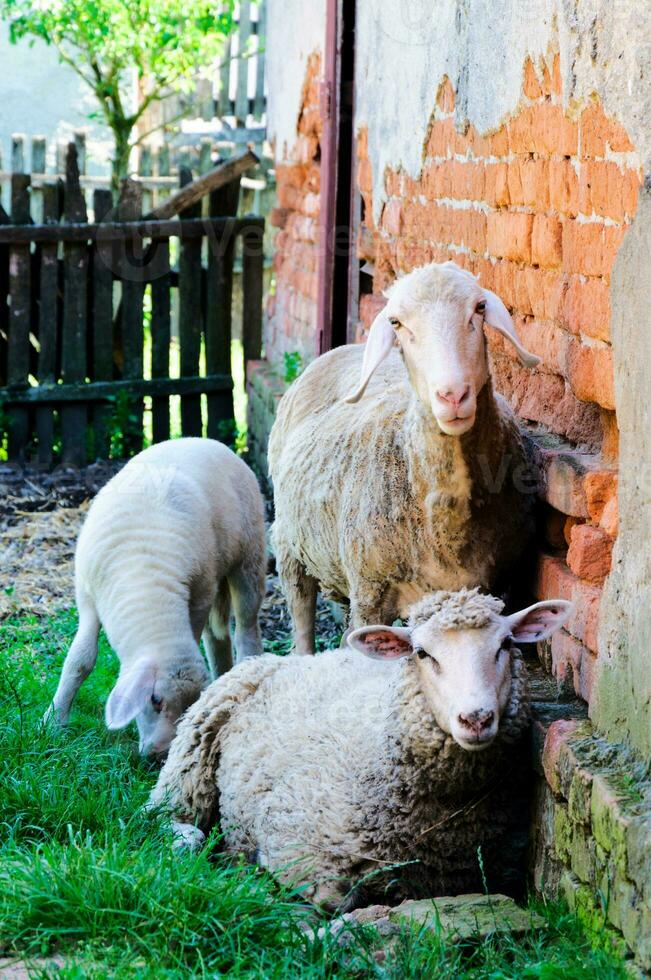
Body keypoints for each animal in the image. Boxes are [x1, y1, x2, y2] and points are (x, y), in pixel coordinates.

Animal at [45, 438, 268, 756]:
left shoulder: (198, 597)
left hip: (249, 557)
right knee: (217, 637)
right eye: (155, 700)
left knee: (247, 627)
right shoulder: (86, 599)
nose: (159, 754)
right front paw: (53, 722)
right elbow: (80, 660)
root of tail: (204, 440)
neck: (144, 577)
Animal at [149, 584, 572, 908]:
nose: (476, 719)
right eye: (422, 653)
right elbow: (330, 900)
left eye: (505, 644)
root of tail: (298, 658)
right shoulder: (299, 853)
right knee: (162, 816)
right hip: (190, 759)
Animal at [268, 260, 544, 660]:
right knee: (301, 616)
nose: (453, 395)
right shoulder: (370, 592)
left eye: (479, 308)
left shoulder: (496, 586)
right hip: (290, 546)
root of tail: (343, 348)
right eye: (397, 323)